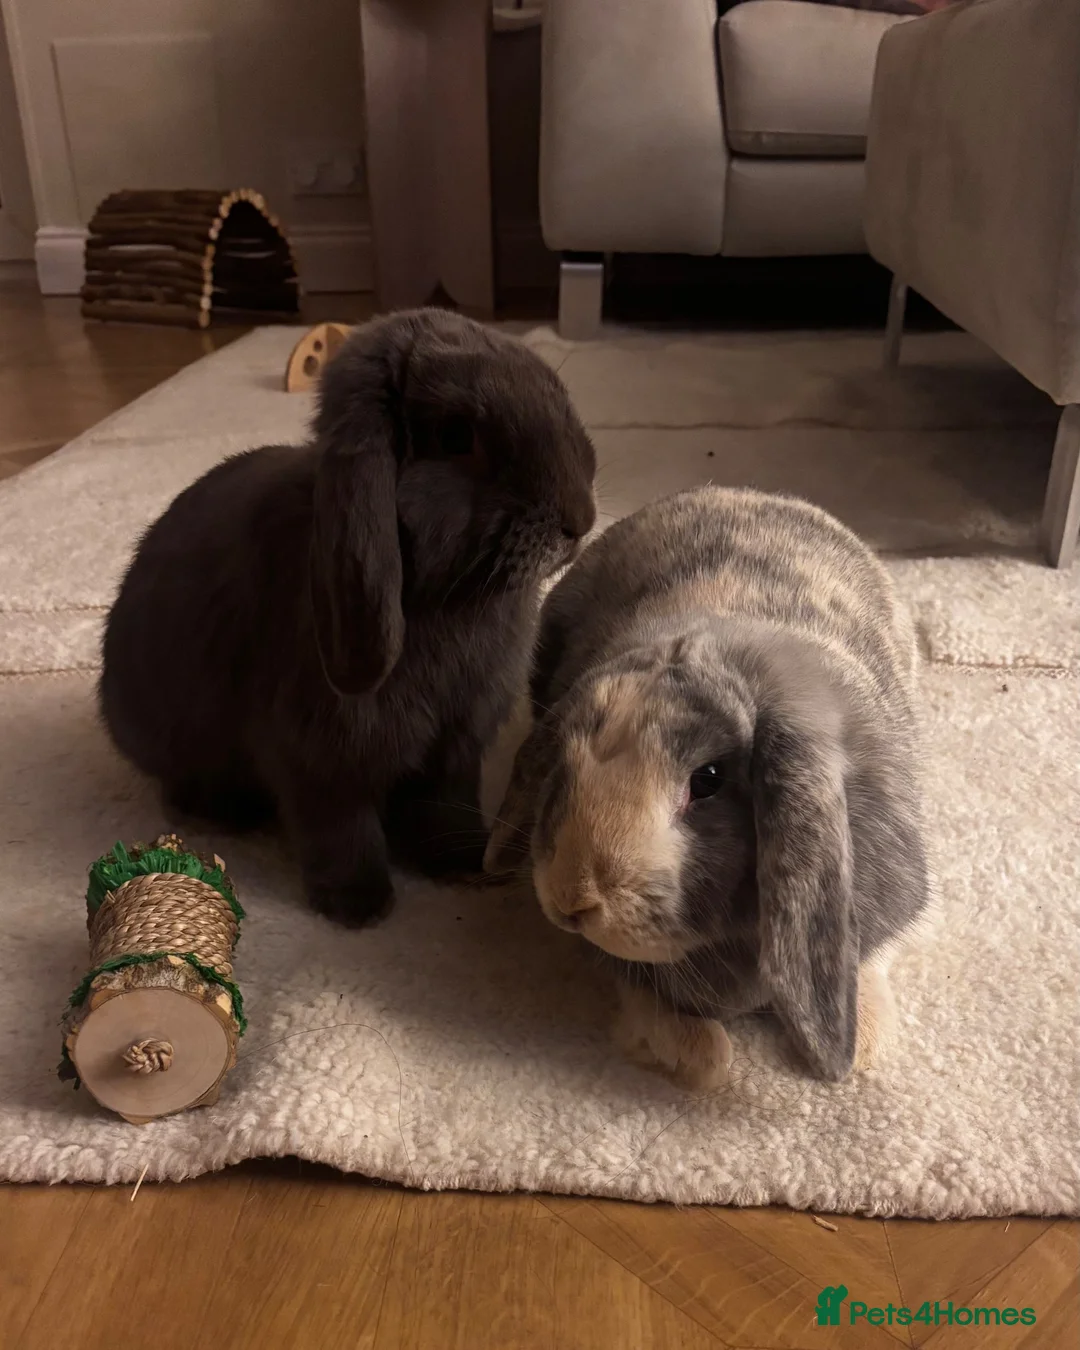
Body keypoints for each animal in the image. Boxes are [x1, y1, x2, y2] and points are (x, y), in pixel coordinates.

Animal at [100, 308, 597, 926]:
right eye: (457, 438)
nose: (581, 520)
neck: (448, 599)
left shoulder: (456, 745)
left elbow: (446, 806)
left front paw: (465, 864)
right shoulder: (322, 757)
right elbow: (341, 826)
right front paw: (359, 905)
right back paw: (227, 814)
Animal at [484, 486, 930, 1087]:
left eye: (708, 781)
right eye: (563, 764)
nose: (572, 900)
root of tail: (742, 492)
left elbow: (872, 957)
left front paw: (864, 1047)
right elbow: (650, 1002)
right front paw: (706, 1061)